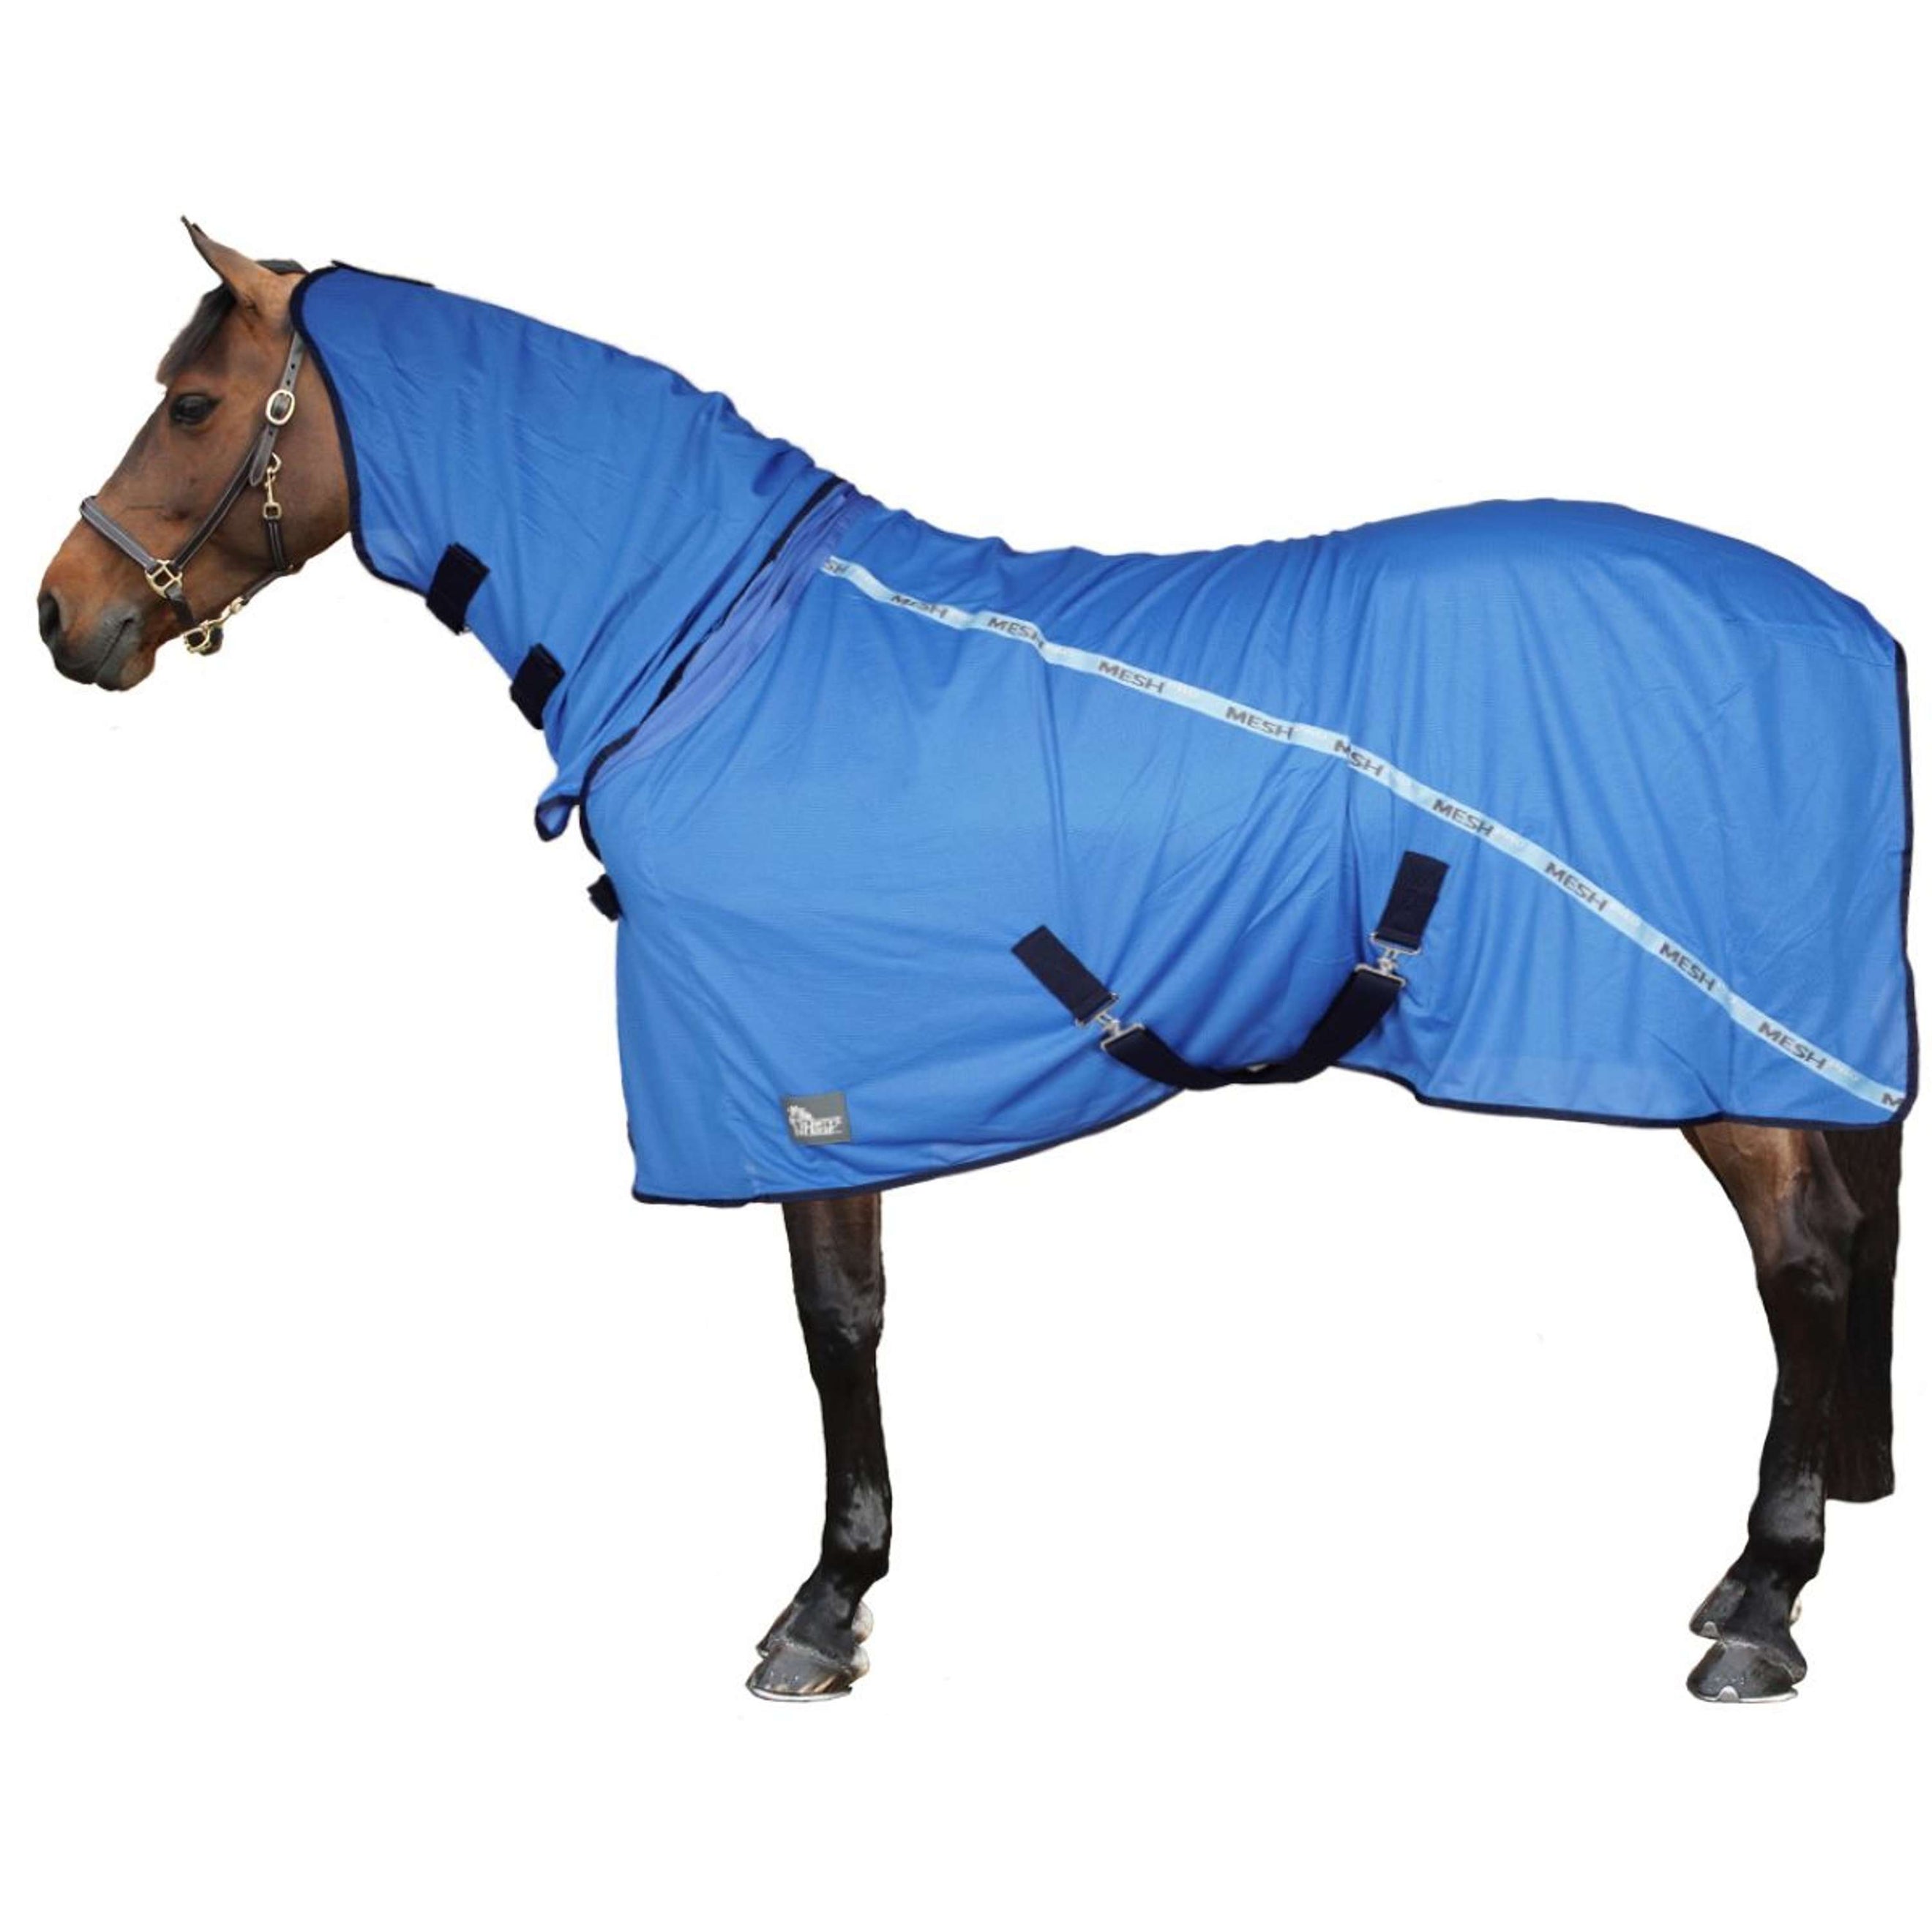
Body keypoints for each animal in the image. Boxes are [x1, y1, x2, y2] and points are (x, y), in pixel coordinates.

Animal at [36, 224, 1909, 1703]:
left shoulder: (800, 1079)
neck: (719, 642)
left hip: (1719, 1053)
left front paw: (824, 1606)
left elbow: (836, 1324)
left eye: (192, 404)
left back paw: (1761, 1606)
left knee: (1805, 1263)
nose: (64, 616)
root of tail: (1845, 624)